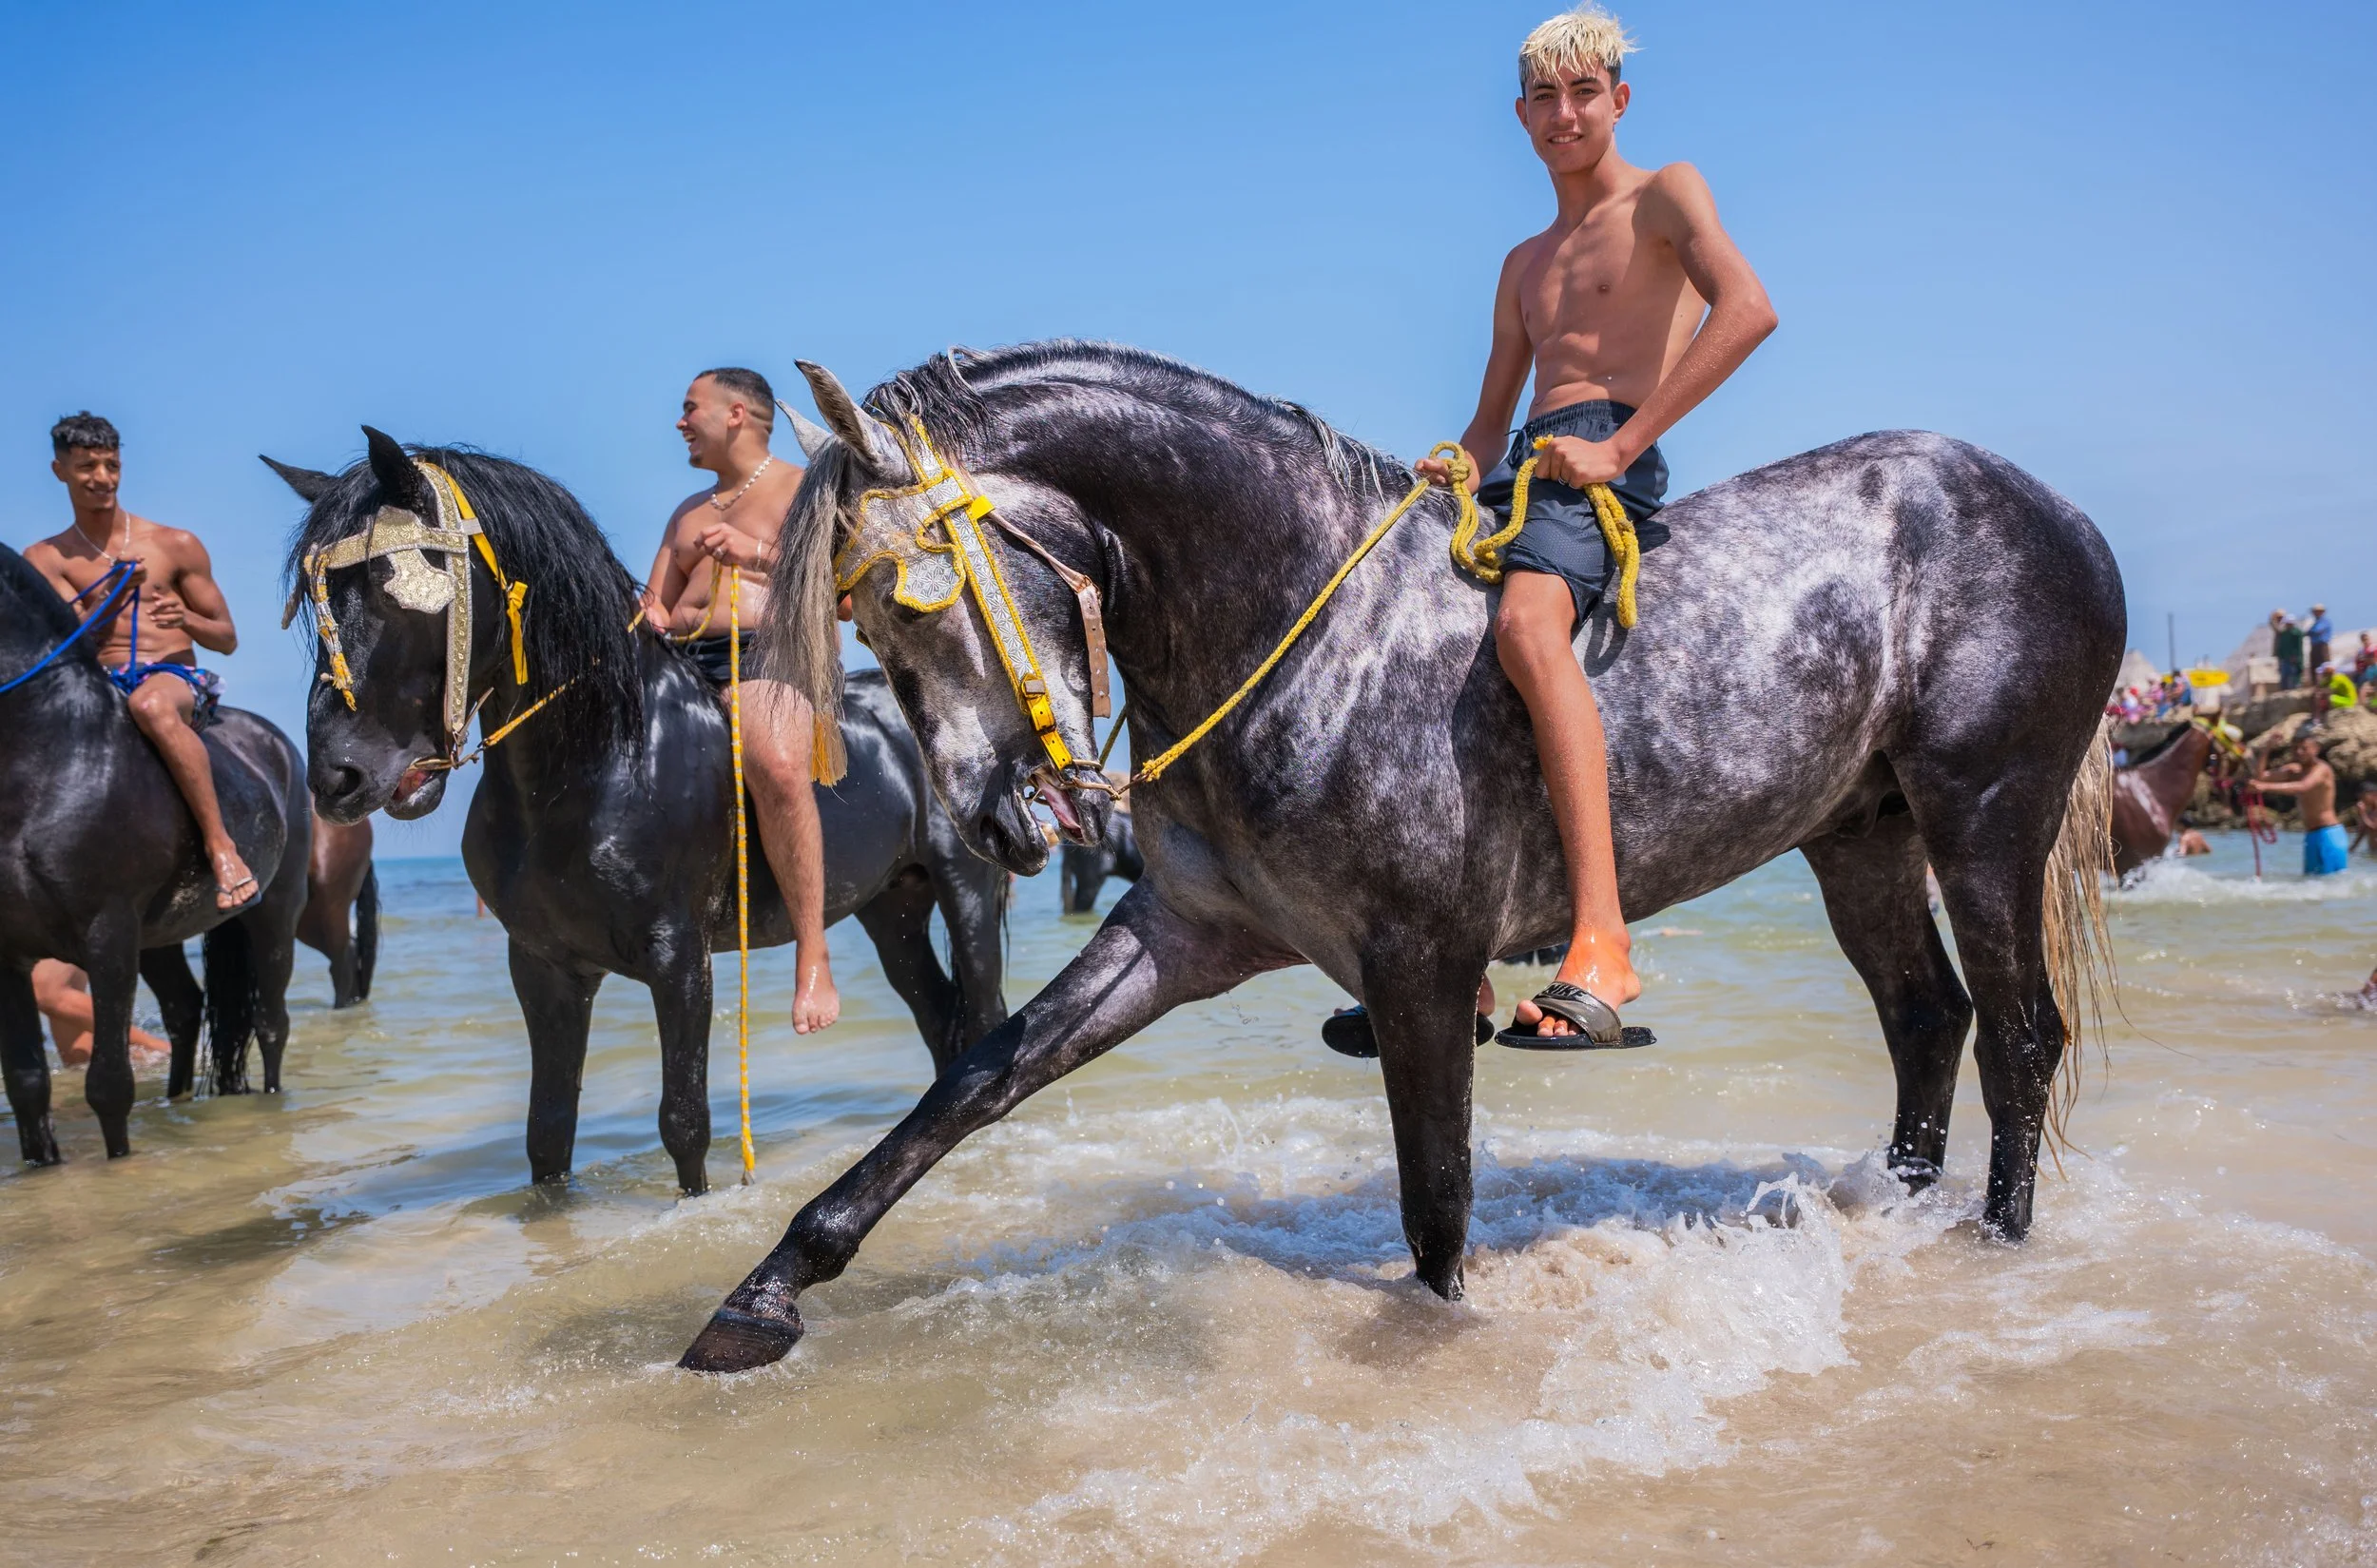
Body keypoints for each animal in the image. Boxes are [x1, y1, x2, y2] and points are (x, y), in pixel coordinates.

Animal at [0, 544, 311, 1163]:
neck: (51, 755)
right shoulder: (6, 954)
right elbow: (26, 1086)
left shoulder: (108, 933)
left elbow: (108, 1083)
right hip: (157, 937)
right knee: (185, 1011)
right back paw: (177, 1103)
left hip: (274, 914)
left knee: (270, 1024)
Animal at [674, 340, 2124, 1373]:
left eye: (914, 601)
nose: (989, 820)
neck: (1304, 630)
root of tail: (2051, 510)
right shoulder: (1182, 932)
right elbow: (971, 1082)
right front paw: (766, 1291)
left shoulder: (1423, 967)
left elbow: (1436, 1203)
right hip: (1859, 838)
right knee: (1926, 1019)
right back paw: (1904, 1212)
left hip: (1983, 814)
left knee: (2017, 1033)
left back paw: (1997, 1242)